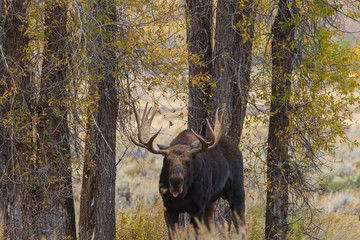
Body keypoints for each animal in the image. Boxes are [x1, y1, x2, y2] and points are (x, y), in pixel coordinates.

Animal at [131, 101, 246, 238]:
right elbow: (173, 235)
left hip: (237, 191)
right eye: (167, 160)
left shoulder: (197, 208)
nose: (176, 182)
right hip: (211, 203)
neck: (183, 195)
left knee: (241, 225)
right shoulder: (168, 208)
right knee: (212, 228)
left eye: (188, 162)